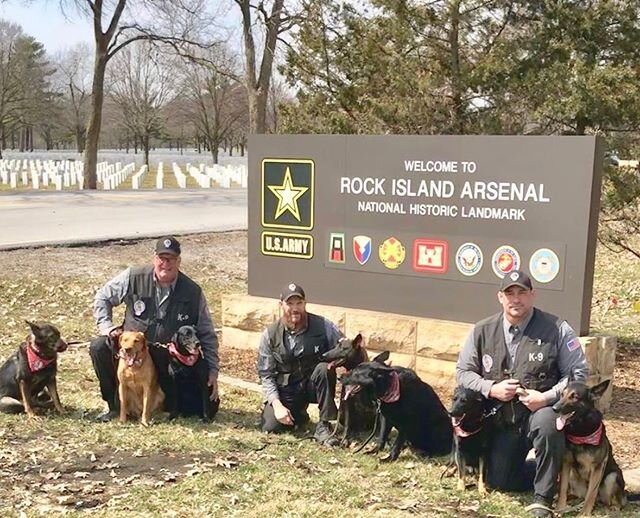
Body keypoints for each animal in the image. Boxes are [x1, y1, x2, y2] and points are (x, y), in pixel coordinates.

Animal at [552, 378, 628, 516]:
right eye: (562, 394)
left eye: (575, 397)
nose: (554, 408)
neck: (579, 430)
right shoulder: (566, 463)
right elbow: (562, 488)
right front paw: (560, 508)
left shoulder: (597, 467)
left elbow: (591, 493)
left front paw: (584, 513)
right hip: (573, 475)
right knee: (576, 494)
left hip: (611, 477)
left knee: (615, 501)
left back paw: (614, 508)